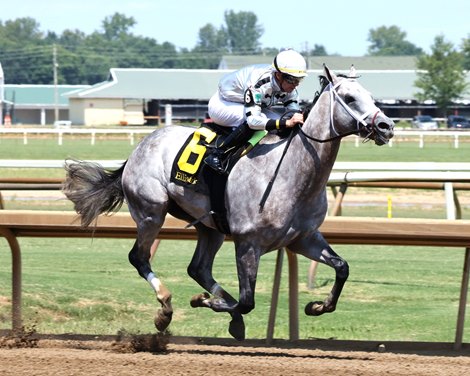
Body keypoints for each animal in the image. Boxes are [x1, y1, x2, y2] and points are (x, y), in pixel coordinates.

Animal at [62, 65, 392, 340]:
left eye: (371, 96)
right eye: (349, 97)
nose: (386, 126)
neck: (291, 174)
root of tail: (140, 147)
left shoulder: (303, 239)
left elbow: (342, 267)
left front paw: (316, 306)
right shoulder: (248, 243)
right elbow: (247, 301)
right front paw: (203, 301)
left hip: (211, 227)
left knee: (198, 268)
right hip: (151, 212)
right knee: (140, 258)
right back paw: (165, 308)